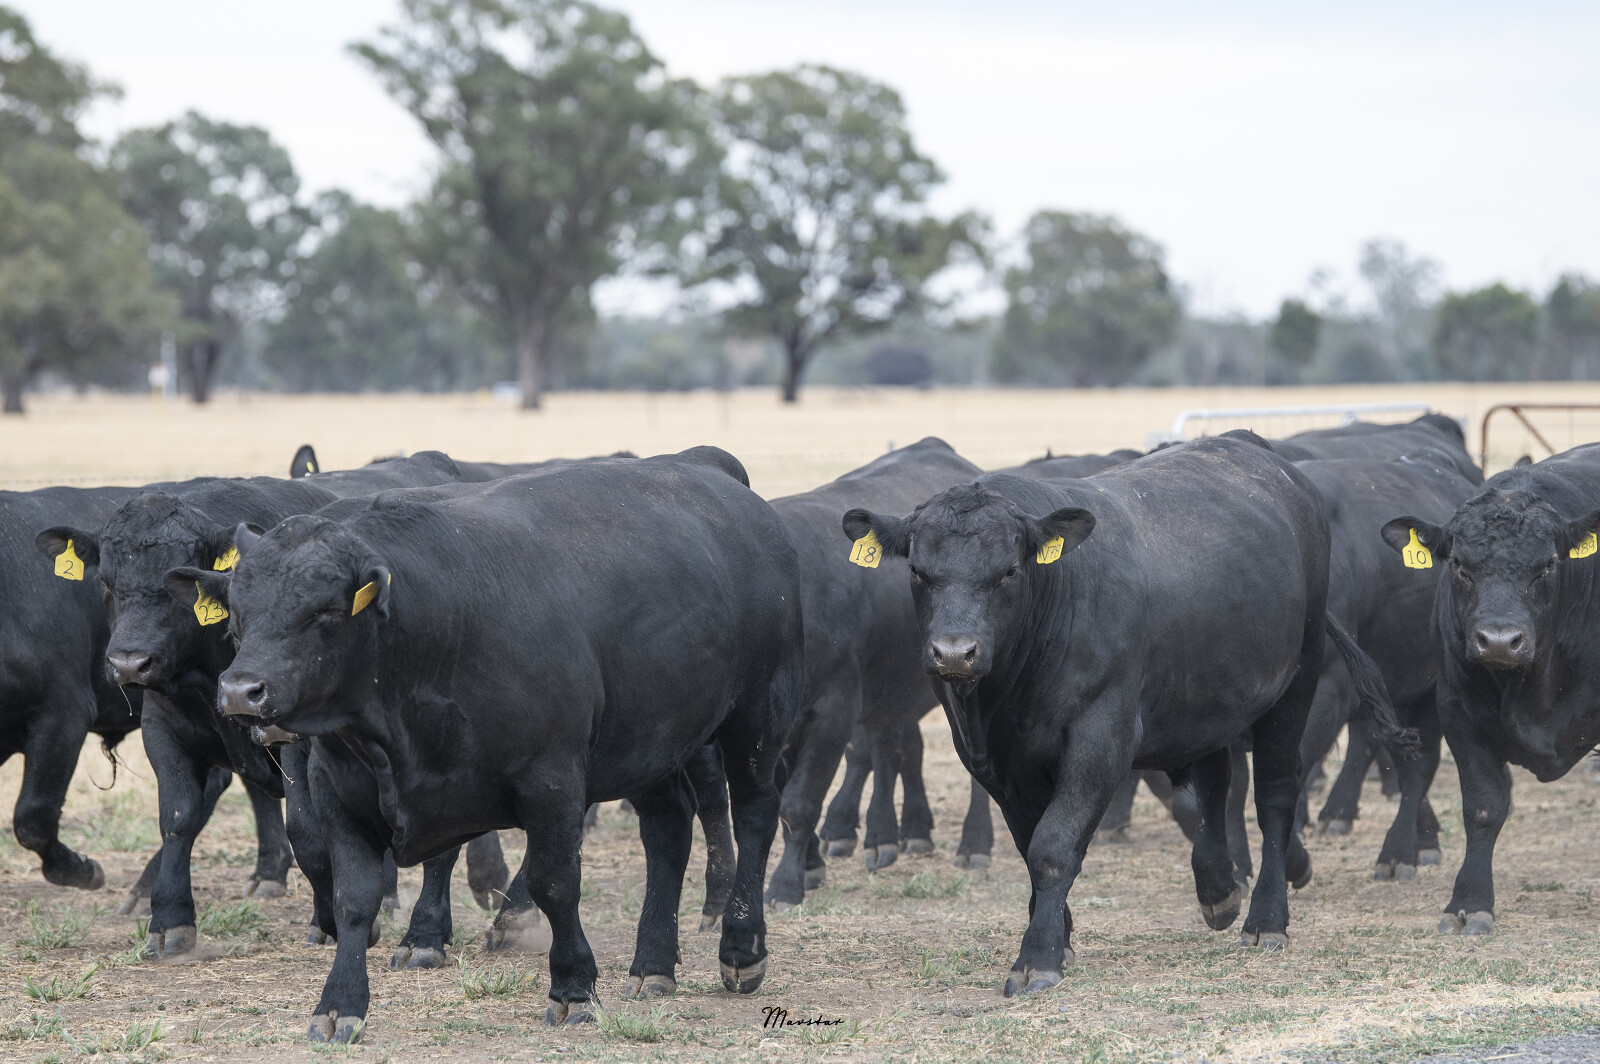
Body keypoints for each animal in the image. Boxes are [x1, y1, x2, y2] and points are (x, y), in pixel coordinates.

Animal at [194, 447, 802, 1041]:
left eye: (324, 609)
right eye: (238, 612)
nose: (241, 690)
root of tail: (706, 465)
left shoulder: (552, 780)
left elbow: (555, 883)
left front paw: (573, 987)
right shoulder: (338, 791)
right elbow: (354, 898)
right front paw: (339, 1004)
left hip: (756, 715)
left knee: (754, 815)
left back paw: (741, 948)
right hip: (650, 743)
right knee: (668, 828)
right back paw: (652, 964)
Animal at [764, 438, 982, 909]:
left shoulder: (832, 712)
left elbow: (799, 802)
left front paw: (787, 883)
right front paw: (811, 864)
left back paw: (976, 845)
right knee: (891, 750)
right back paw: (889, 837)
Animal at [842, 431, 1412, 996]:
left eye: (1009, 570)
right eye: (917, 571)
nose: (954, 653)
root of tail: (1253, 447)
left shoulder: (1101, 739)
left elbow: (1053, 845)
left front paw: (1038, 955)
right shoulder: (995, 762)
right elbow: (1031, 846)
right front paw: (1059, 938)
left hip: (1297, 682)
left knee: (1274, 796)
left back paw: (1266, 919)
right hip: (1205, 700)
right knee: (1214, 783)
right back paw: (1217, 889)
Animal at [1382, 442, 1600, 935]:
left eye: (1548, 565)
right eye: (1459, 565)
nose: (1500, 640)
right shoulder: (1458, 713)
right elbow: (1483, 808)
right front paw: (1468, 902)